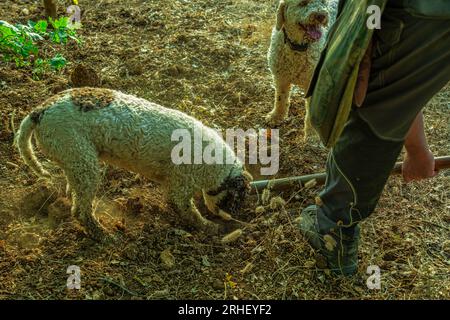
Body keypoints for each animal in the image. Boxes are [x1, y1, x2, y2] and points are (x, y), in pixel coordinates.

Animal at [17, 87, 253, 240]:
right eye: (237, 198)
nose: (233, 219)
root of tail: (39, 112)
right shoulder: (179, 188)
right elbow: (189, 212)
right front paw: (209, 227)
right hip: (85, 164)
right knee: (81, 211)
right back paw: (103, 235)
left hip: (75, 160)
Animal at [266, 0, 336, 135]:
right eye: (303, 3)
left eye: (323, 2)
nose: (321, 15)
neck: (298, 47)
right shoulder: (281, 78)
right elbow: (280, 99)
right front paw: (276, 116)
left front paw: (311, 135)